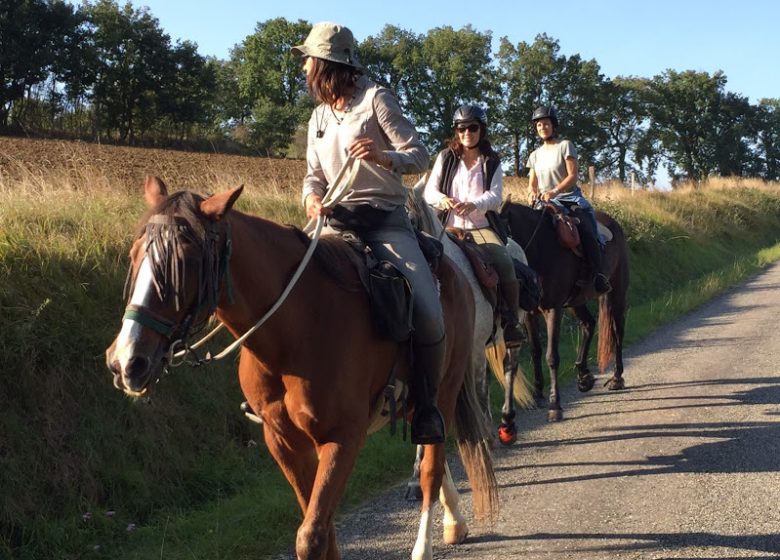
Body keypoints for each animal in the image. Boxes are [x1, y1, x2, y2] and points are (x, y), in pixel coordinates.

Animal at [103, 177, 496, 556]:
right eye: (134, 255)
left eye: (184, 262)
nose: (125, 360)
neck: (295, 329)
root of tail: (454, 270)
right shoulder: (284, 442)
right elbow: (324, 530)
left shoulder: (342, 437)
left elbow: (312, 536)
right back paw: (455, 522)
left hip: (442, 394)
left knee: (432, 467)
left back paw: (424, 546)